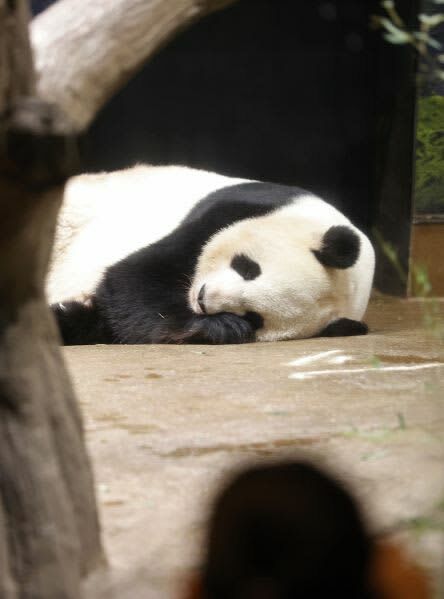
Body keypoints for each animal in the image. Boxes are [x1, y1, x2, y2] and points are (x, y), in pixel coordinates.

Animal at [47, 165, 374, 346]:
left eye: (255, 317)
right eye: (247, 267)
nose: (203, 299)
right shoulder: (235, 208)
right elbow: (133, 279)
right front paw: (214, 327)